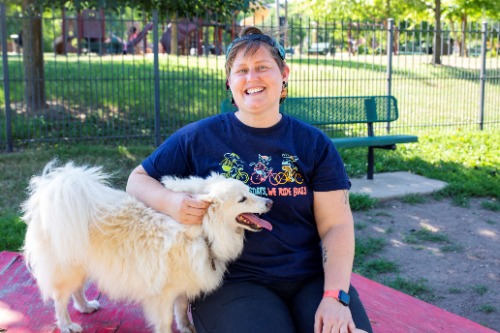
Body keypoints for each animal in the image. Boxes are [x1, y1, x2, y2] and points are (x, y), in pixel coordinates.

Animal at [22, 160, 274, 330]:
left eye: (249, 190)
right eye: (242, 199)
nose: (270, 202)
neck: (204, 230)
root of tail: (49, 194)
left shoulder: (184, 285)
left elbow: (181, 311)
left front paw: (187, 328)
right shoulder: (162, 295)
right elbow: (165, 322)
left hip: (81, 264)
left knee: (76, 290)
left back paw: (85, 307)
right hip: (68, 268)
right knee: (59, 299)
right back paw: (67, 325)